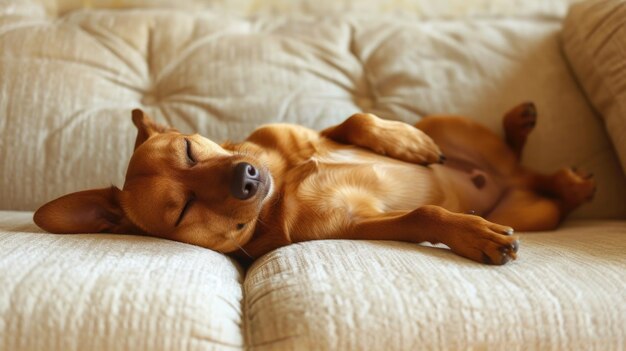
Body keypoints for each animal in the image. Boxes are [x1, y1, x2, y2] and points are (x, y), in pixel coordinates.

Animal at [34, 103, 596, 266]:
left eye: (190, 148)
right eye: (182, 209)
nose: (246, 176)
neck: (283, 185)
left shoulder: (316, 134)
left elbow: (354, 119)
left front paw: (404, 143)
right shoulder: (362, 227)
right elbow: (425, 215)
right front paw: (474, 233)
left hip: (447, 122)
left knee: (517, 159)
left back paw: (524, 132)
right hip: (532, 212)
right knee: (544, 191)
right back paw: (569, 184)